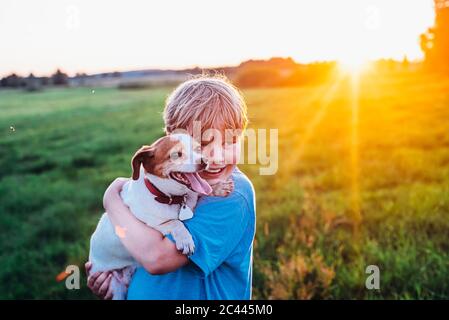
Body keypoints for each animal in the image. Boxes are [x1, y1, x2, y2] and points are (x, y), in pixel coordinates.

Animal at [89, 132, 233, 300]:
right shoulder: (152, 225)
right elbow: (176, 223)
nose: (204, 161)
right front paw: (185, 239)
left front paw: (218, 187)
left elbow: (201, 191)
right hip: (115, 288)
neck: (171, 197)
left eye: (198, 149)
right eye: (177, 154)